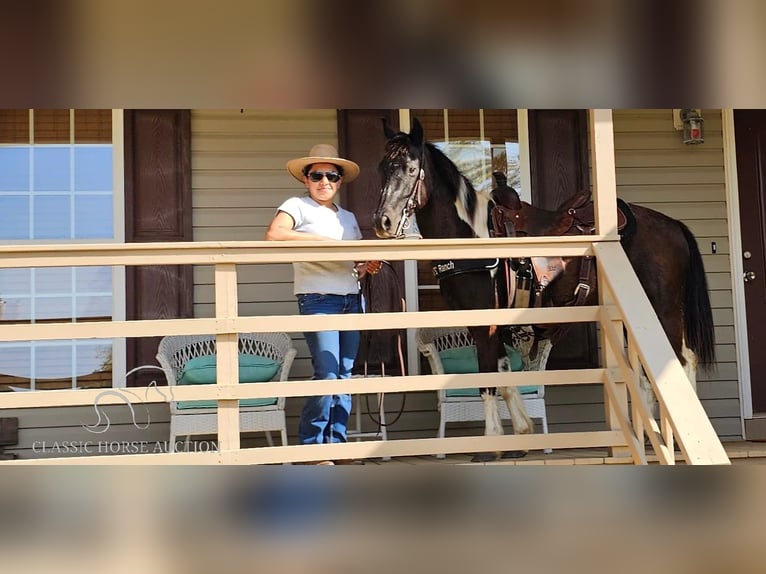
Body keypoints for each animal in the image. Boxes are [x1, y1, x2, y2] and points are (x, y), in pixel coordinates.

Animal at [376, 117, 716, 460]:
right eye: (382, 168)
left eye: (410, 168)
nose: (383, 221)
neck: (471, 237)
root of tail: (673, 225)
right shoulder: (484, 324)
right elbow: (503, 373)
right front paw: (520, 437)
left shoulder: (485, 323)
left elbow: (487, 379)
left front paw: (490, 445)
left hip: (664, 311)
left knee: (681, 363)